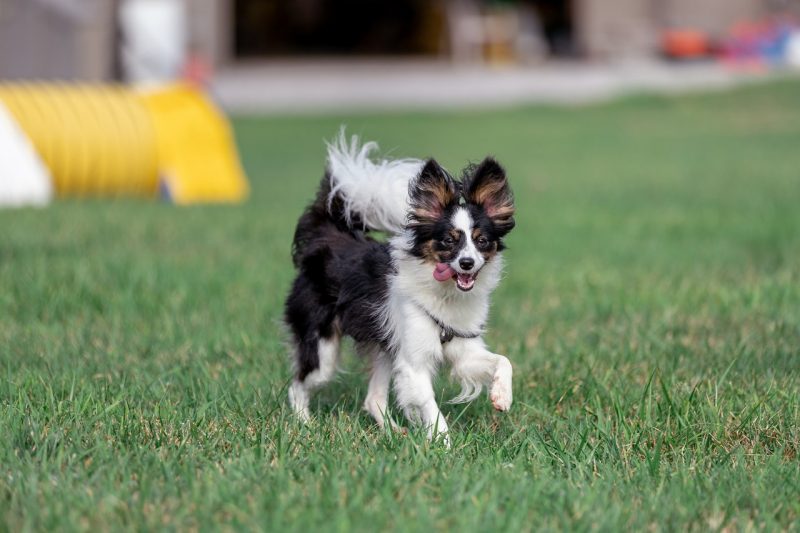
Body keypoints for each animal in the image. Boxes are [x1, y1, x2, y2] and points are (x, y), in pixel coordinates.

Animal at [284, 131, 516, 442]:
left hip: (384, 346)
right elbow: (430, 406)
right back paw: (304, 424)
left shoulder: (463, 350)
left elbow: (503, 360)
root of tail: (326, 237)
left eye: (482, 241)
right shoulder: (413, 364)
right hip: (322, 349)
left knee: (373, 398)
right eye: (448, 241)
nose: (467, 263)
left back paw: (393, 433)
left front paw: (502, 395)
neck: (444, 294)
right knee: (298, 385)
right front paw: (444, 444)